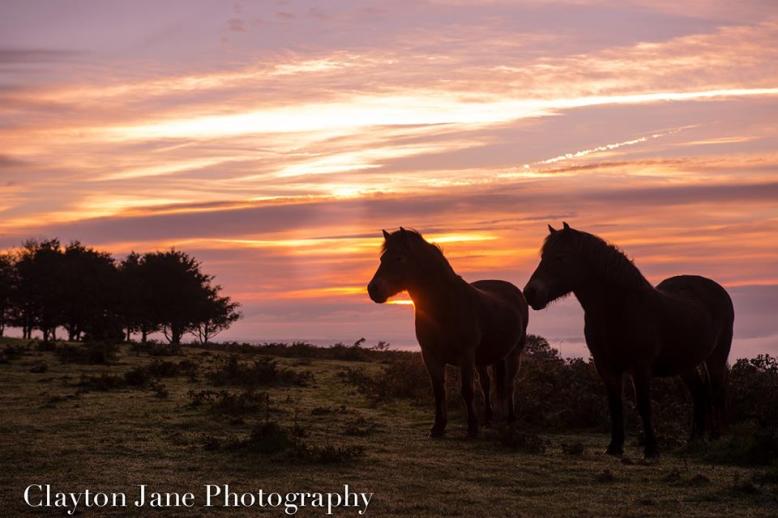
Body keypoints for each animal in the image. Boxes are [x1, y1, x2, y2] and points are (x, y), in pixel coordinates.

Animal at [367, 228, 529, 438]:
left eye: (399, 258)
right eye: (382, 258)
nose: (373, 289)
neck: (445, 307)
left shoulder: (466, 356)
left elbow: (467, 390)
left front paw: (472, 429)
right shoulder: (430, 355)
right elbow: (438, 390)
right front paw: (438, 427)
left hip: (514, 353)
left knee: (509, 384)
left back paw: (510, 420)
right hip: (484, 359)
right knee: (486, 384)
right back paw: (487, 419)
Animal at [523, 222, 734, 458]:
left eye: (561, 257)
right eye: (543, 256)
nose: (530, 293)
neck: (620, 309)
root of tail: (718, 290)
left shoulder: (640, 366)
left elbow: (643, 405)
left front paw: (651, 449)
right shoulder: (606, 367)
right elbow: (615, 405)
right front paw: (614, 446)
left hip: (716, 357)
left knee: (716, 393)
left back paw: (714, 438)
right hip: (685, 364)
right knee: (699, 393)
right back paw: (694, 439)